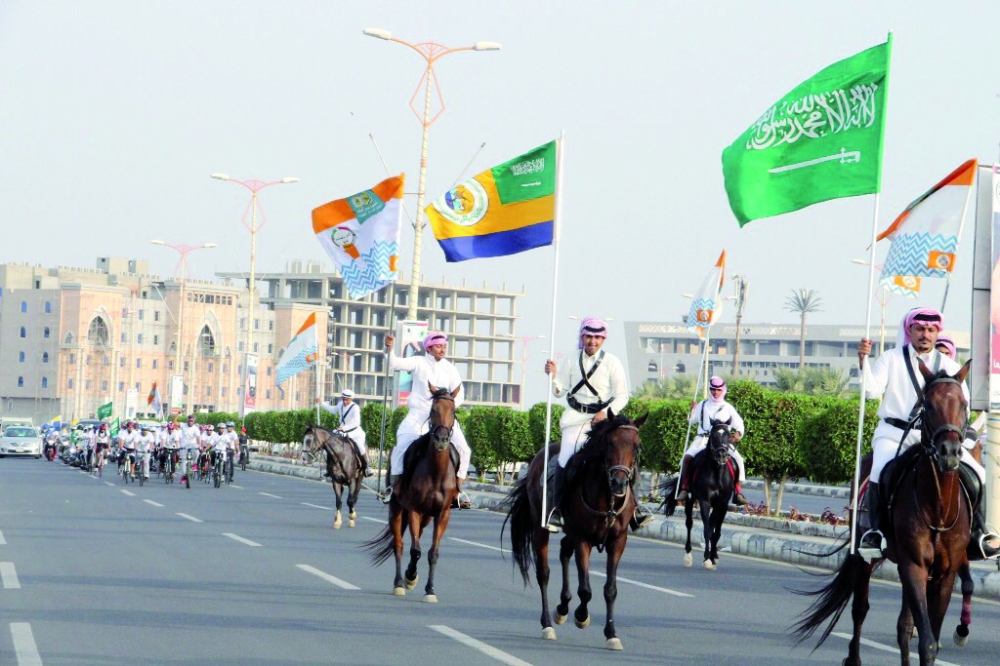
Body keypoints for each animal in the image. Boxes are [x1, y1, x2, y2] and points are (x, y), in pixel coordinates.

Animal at [364, 378, 460, 600]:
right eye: (433, 410)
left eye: (454, 411)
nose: (441, 439)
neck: (436, 472)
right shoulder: (414, 509)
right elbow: (415, 550)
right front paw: (410, 577)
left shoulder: (442, 513)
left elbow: (433, 552)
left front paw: (430, 590)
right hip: (397, 508)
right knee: (399, 545)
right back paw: (400, 582)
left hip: (427, 516)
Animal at [500, 410, 648, 648]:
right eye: (610, 443)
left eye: (637, 446)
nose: (619, 483)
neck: (607, 498)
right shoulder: (583, 539)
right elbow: (585, 589)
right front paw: (581, 616)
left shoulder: (618, 541)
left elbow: (610, 589)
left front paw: (611, 633)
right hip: (541, 528)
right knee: (544, 573)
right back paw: (548, 624)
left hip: (570, 532)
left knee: (564, 551)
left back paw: (562, 607)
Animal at [660, 418, 740, 568]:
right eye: (713, 435)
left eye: (729, 435)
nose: (722, 455)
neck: (717, 473)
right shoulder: (704, 502)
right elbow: (707, 529)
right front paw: (707, 558)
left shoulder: (722, 504)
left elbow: (715, 530)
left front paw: (713, 556)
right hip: (690, 500)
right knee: (689, 523)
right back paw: (688, 554)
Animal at [792, 360, 972, 660]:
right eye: (928, 404)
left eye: (964, 403)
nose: (949, 451)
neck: (938, 508)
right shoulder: (914, 566)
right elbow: (927, 641)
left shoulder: (944, 574)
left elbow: (927, 636)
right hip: (867, 559)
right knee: (860, 609)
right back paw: (853, 657)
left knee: (903, 626)